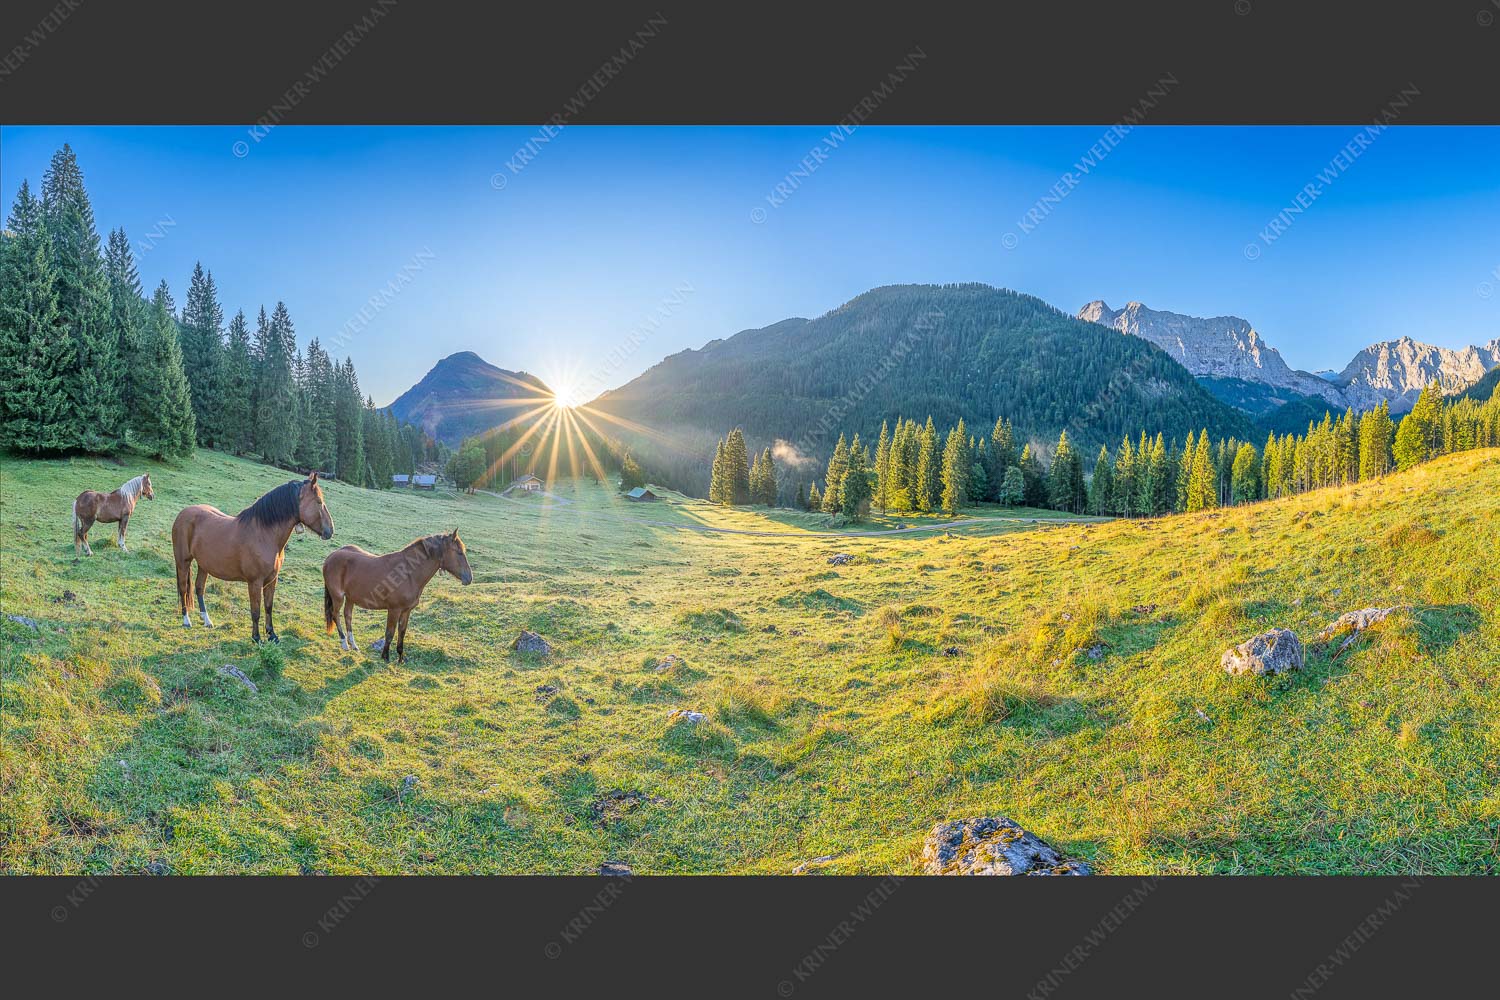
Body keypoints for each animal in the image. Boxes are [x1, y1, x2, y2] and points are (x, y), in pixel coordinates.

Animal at [171, 473, 334, 643]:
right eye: (319, 501)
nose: (330, 530)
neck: (264, 534)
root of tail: (184, 513)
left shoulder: (272, 580)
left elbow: (268, 607)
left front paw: (272, 635)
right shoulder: (255, 582)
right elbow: (255, 611)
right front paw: (256, 638)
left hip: (204, 565)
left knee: (199, 588)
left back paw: (207, 620)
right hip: (183, 562)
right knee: (183, 588)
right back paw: (186, 620)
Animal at [322, 529, 472, 664]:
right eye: (459, 552)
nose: (469, 578)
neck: (408, 573)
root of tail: (331, 556)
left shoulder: (406, 611)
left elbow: (402, 632)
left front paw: (400, 658)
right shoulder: (394, 610)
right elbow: (390, 633)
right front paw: (385, 657)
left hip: (351, 598)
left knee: (348, 616)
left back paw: (353, 645)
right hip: (338, 597)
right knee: (336, 615)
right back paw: (344, 644)